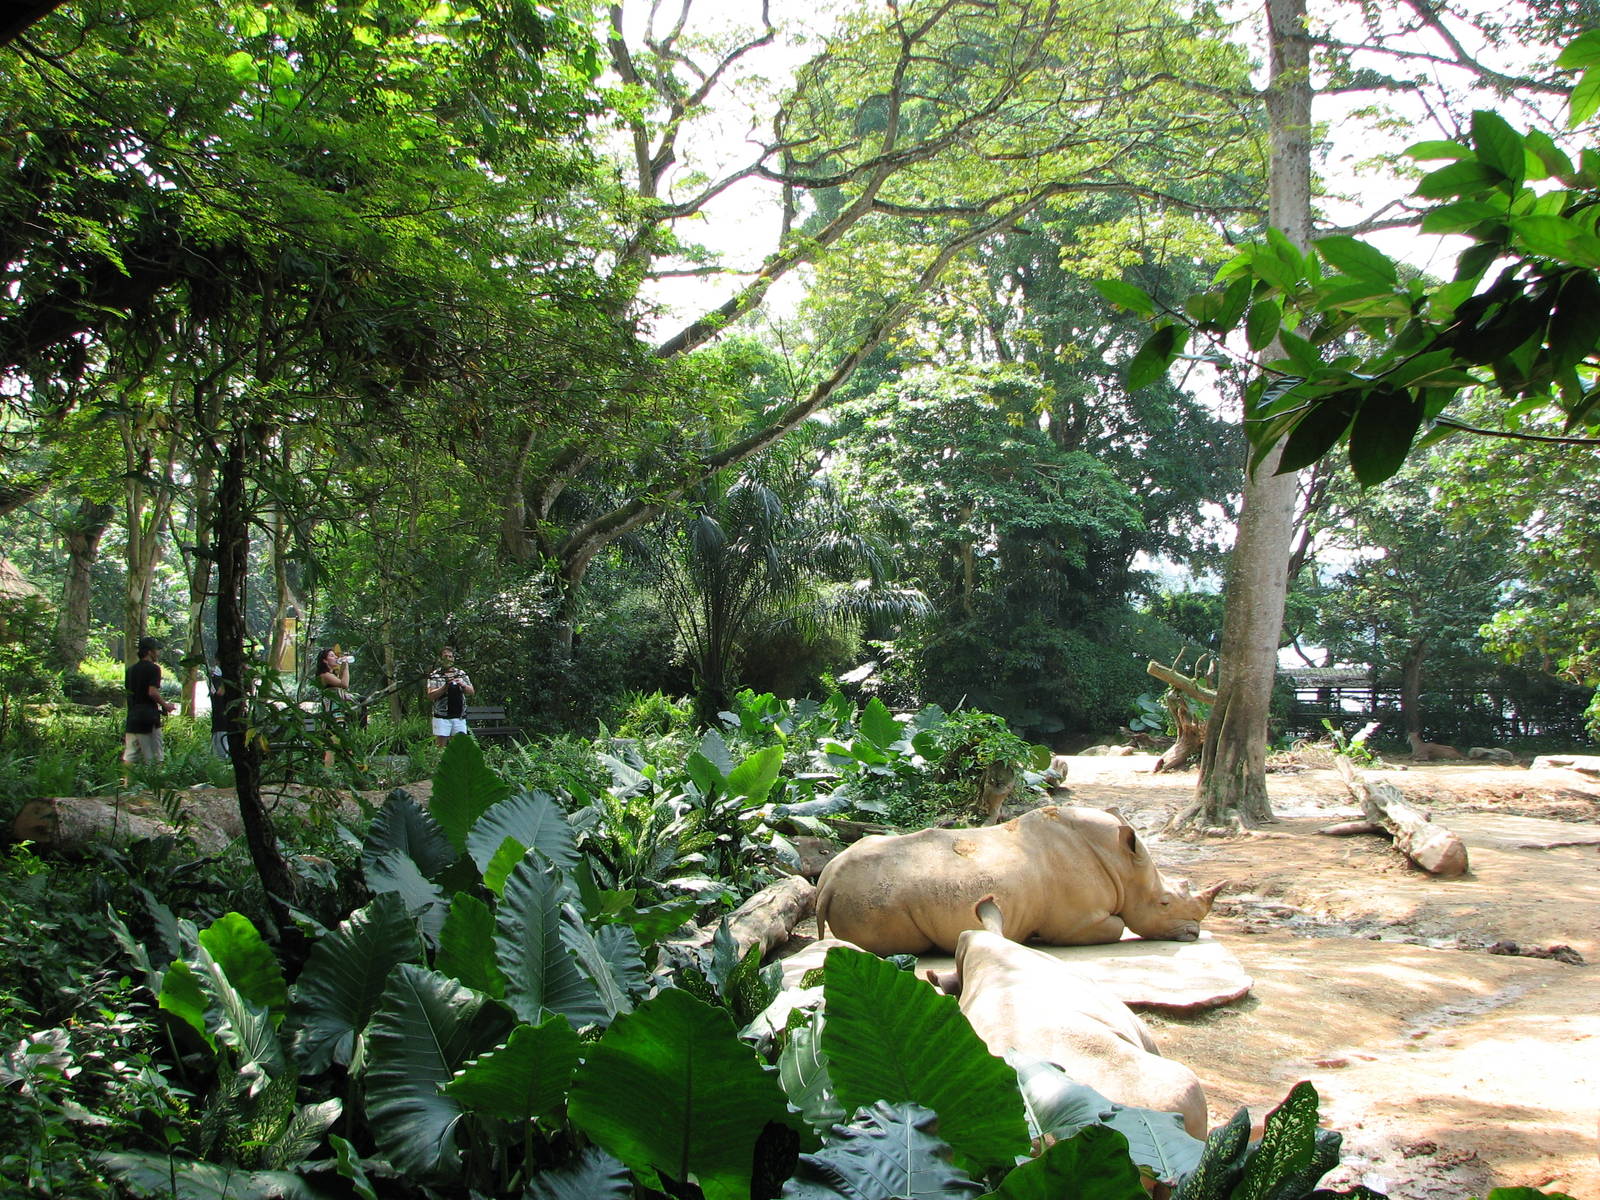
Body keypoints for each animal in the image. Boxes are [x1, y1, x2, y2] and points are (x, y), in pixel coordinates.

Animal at [814, 804, 1224, 955]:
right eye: (1164, 903)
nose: (1194, 933)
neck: (1123, 866)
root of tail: (826, 883)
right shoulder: (1078, 923)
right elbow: (1118, 925)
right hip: (877, 897)